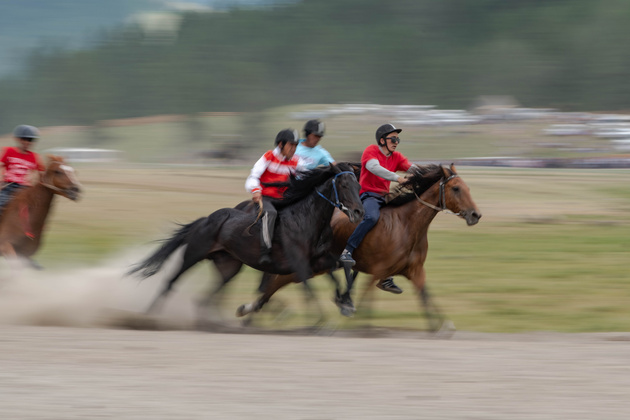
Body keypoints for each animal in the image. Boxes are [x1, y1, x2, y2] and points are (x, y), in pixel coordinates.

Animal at [128, 162, 366, 320]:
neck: (307, 219)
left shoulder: (319, 260)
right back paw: (149, 317)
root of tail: (205, 220)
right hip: (193, 255)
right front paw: (320, 321)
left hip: (228, 265)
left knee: (207, 297)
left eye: (358, 185)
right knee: (170, 282)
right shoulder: (298, 263)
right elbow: (310, 290)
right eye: (344, 185)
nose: (359, 212)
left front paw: (345, 303)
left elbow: (339, 270)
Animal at [237, 164, 484, 332]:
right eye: (456, 188)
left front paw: (441, 324)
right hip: (302, 267)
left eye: (467, 187)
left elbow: (425, 296)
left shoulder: (414, 271)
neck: (407, 225)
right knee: (271, 285)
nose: (475, 215)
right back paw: (249, 313)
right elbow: (366, 301)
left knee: (271, 287)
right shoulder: (377, 270)